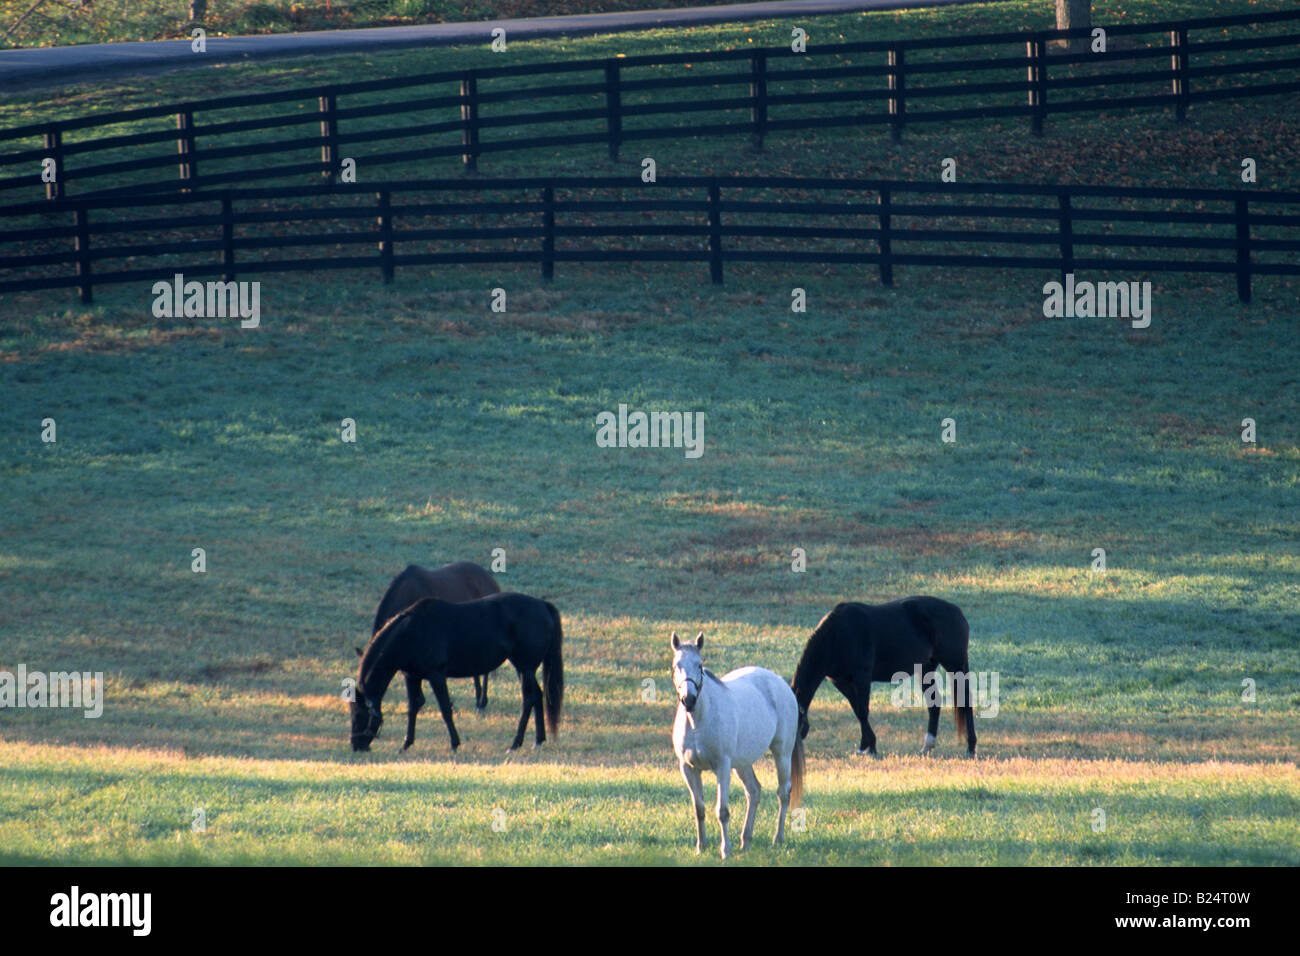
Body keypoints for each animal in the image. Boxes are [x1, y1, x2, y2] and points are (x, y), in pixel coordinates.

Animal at [351, 591, 563, 753]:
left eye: (359, 715)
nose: (356, 745)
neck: (411, 632)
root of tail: (542, 605)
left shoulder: (436, 676)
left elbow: (445, 709)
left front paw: (454, 744)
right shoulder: (412, 677)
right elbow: (413, 708)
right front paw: (406, 744)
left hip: (525, 668)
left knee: (529, 699)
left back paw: (515, 744)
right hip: (524, 669)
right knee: (537, 696)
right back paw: (538, 740)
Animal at [670, 632, 804, 860]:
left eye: (699, 665)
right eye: (676, 665)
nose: (689, 699)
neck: (698, 722)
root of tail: (780, 683)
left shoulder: (722, 767)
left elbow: (722, 811)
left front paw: (725, 851)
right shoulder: (688, 769)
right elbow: (699, 809)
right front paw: (701, 847)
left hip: (782, 754)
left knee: (783, 792)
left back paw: (777, 838)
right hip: (742, 764)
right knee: (754, 791)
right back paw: (746, 841)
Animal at [790, 596, 977, 757]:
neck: (837, 635)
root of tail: (957, 611)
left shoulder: (862, 679)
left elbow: (863, 711)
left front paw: (870, 748)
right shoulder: (842, 683)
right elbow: (857, 711)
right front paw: (864, 746)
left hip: (955, 665)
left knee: (966, 702)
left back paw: (971, 747)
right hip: (925, 669)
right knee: (934, 704)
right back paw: (927, 746)